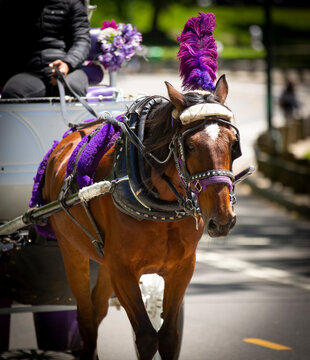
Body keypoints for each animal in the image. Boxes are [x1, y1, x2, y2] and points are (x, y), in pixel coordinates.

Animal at [40, 74, 240, 358]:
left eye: (234, 145)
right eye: (189, 146)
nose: (222, 219)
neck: (160, 205)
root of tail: (63, 143)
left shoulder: (181, 268)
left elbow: (168, 336)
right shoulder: (123, 270)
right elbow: (146, 337)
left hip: (104, 264)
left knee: (97, 309)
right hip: (72, 251)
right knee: (86, 316)